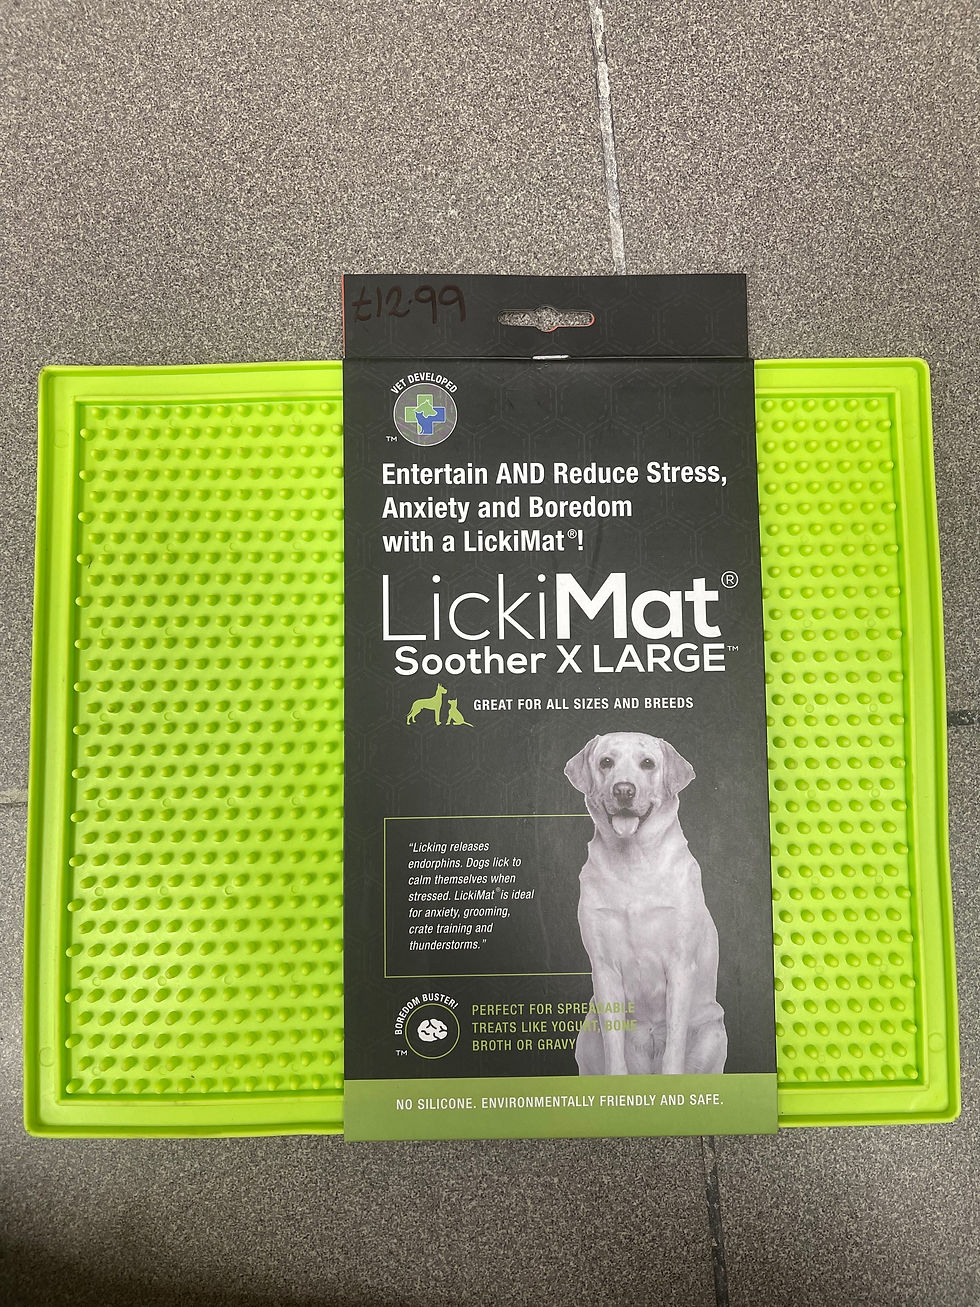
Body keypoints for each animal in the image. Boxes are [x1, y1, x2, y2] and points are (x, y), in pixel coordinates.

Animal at [564, 732, 727, 1076]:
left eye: (648, 764)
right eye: (606, 762)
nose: (624, 790)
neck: (633, 861)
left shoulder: (680, 964)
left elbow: (674, 1046)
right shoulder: (605, 969)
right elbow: (614, 1052)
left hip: (712, 1031)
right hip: (588, 1029)